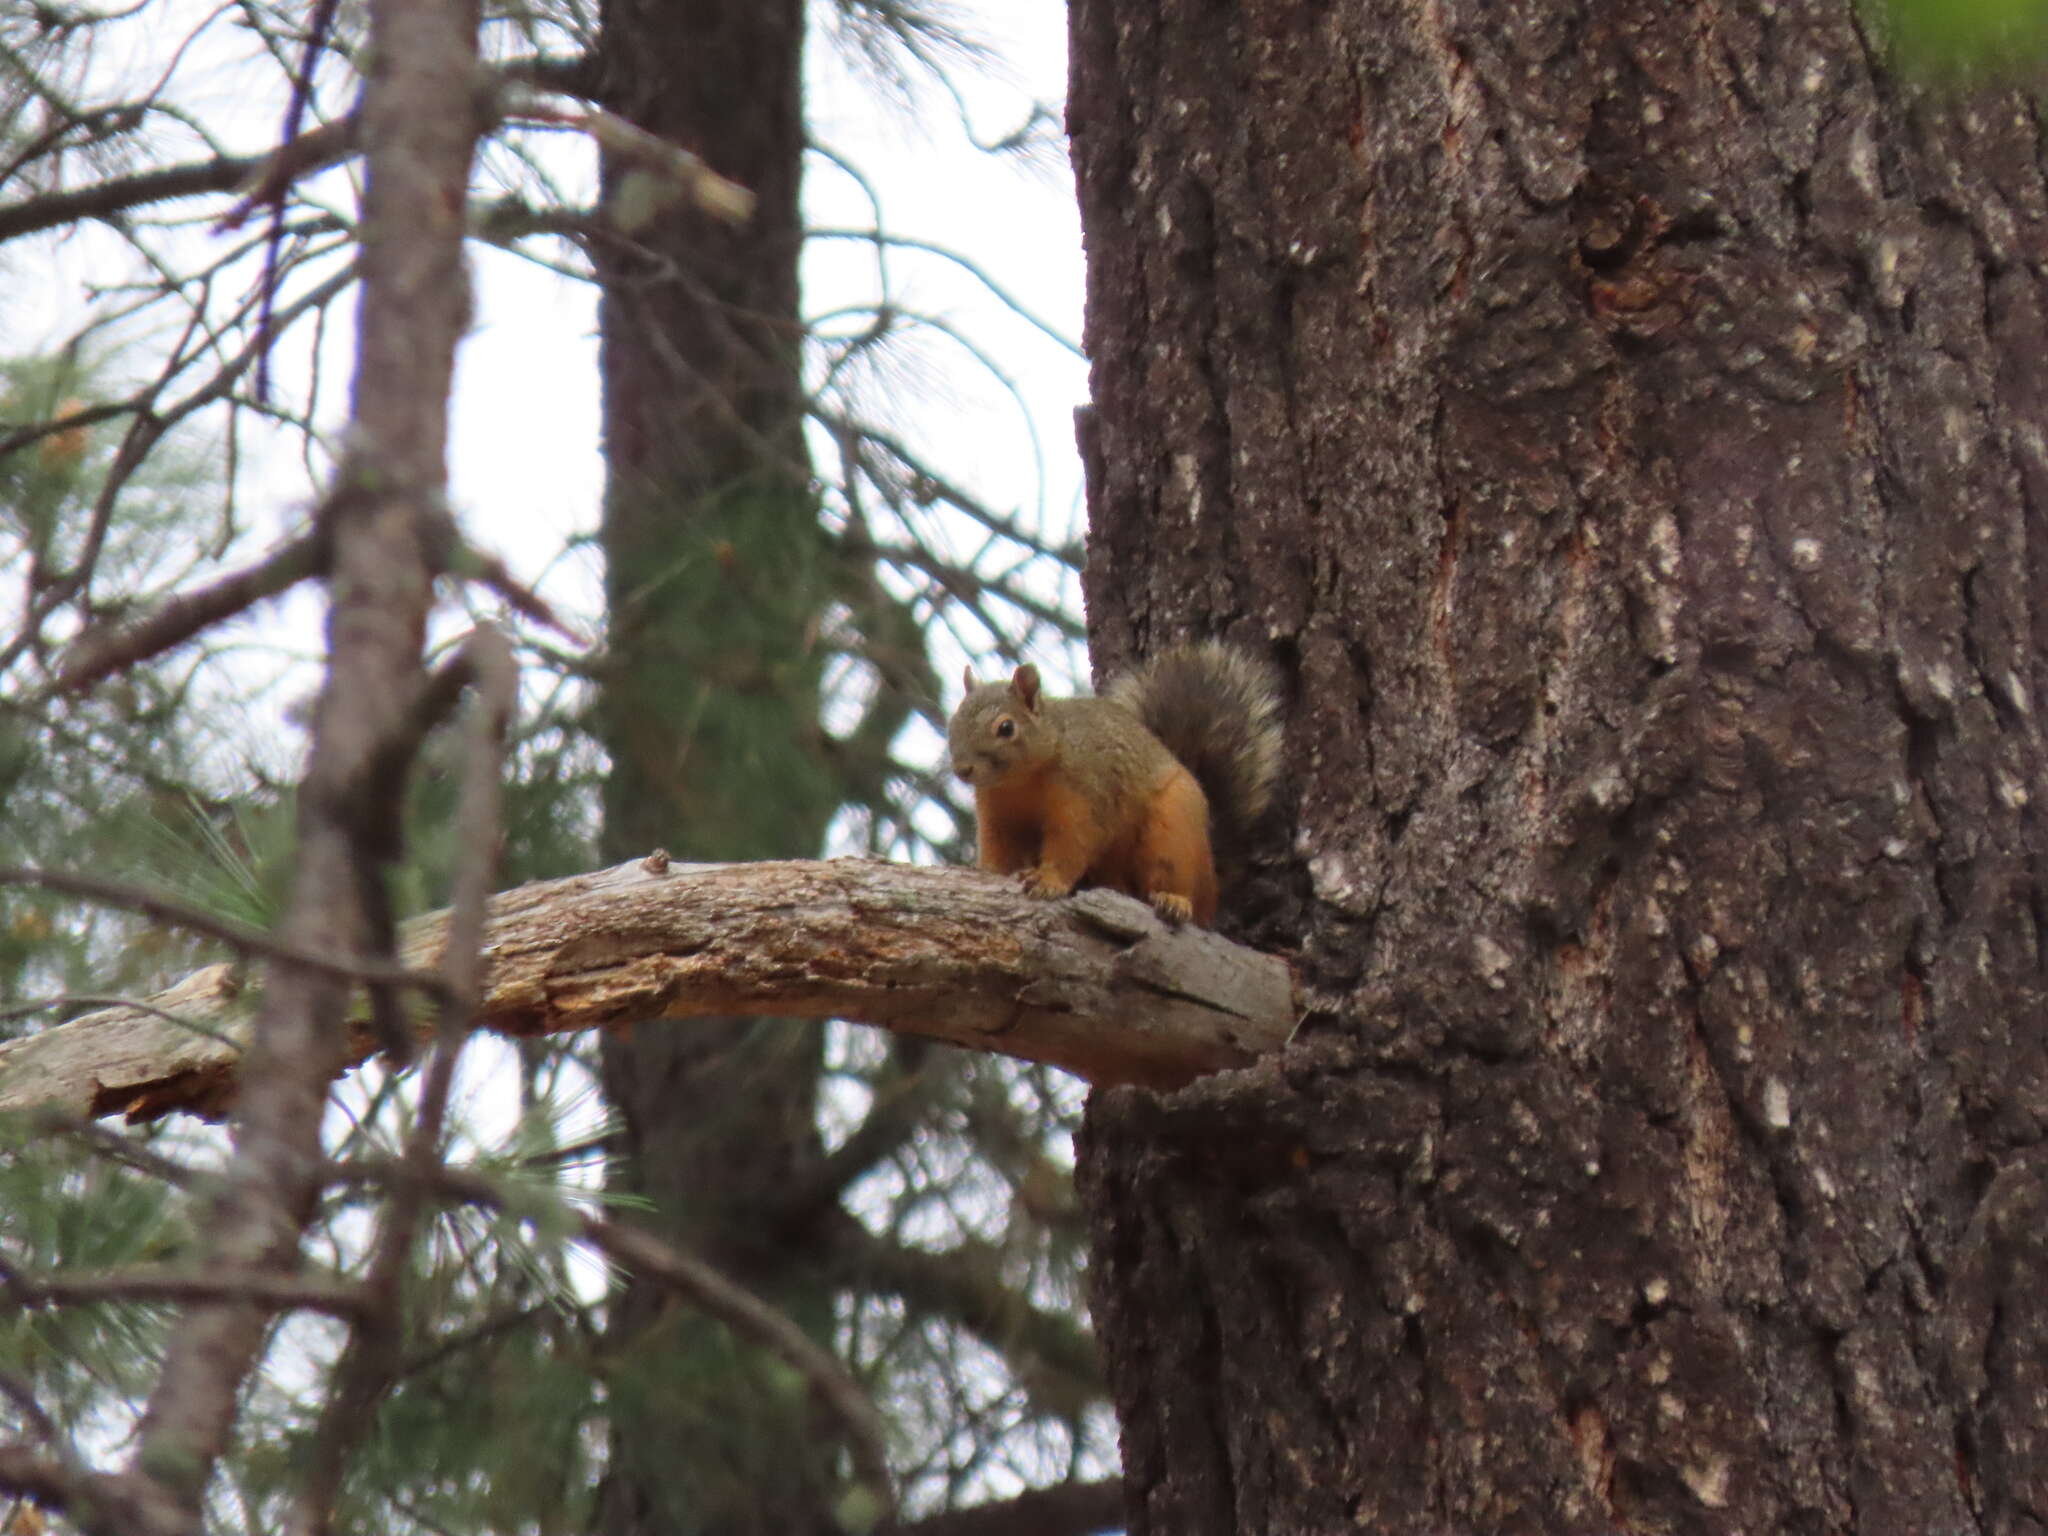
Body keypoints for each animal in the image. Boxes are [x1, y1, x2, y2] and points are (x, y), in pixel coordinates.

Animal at [946, 638, 1277, 925]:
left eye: (1006, 728)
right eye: (953, 721)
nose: (963, 769)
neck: (1019, 781)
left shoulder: (1085, 797)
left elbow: (1072, 844)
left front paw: (1048, 881)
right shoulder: (995, 814)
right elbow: (998, 851)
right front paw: (989, 874)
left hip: (1175, 827)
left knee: (1180, 881)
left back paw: (1175, 900)